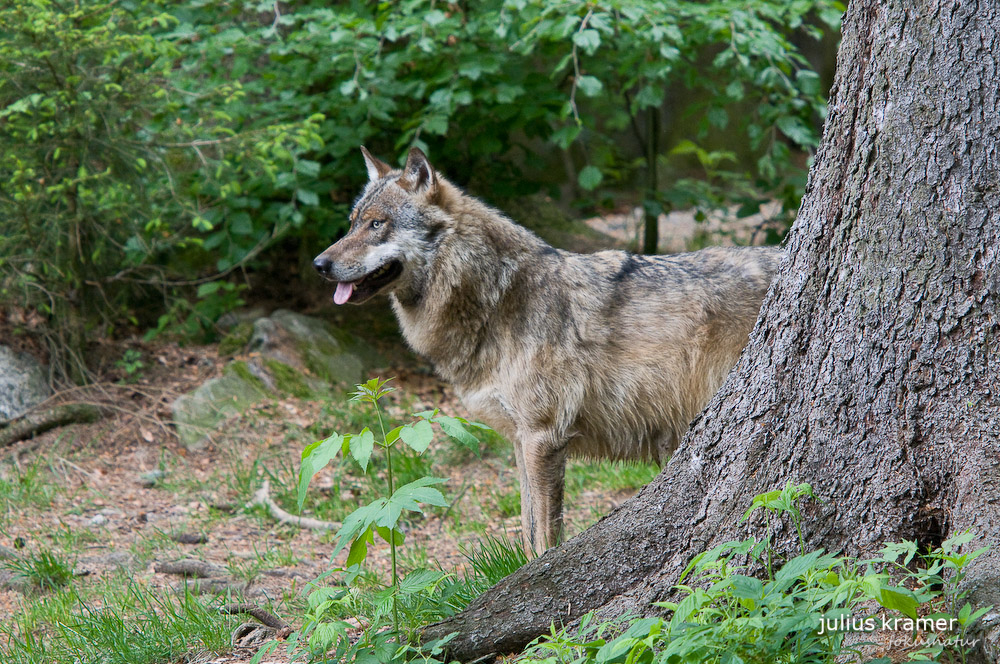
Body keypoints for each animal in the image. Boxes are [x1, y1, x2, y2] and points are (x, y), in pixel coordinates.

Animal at [312, 147, 780, 556]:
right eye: (352, 223)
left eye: (378, 224)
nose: (319, 264)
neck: (496, 299)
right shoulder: (522, 442)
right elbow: (526, 525)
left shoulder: (544, 437)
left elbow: (544, 534)